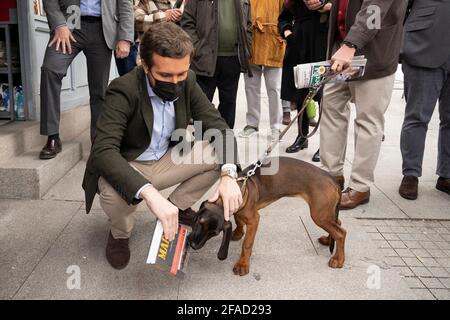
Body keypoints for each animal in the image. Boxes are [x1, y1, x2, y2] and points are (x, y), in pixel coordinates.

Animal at [188, 156, 346, 276]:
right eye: (198, 222)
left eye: (214, 233)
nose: (193, 245)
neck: (239, 187)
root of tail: (333, 179)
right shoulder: (238, 212)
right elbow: (239, 221)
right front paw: (237, 233)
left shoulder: (254, 220)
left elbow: (247, 244)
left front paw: (243, 264)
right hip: (326, 213)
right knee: (338, 222)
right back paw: (328, 240)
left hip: (319, 215)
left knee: (341, 233)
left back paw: (338, 259)